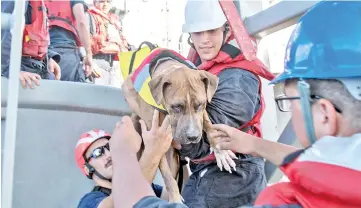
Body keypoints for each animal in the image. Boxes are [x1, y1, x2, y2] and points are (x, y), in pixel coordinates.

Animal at [121, 58, 236, 202]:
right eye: (176, 107)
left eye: (200, 104)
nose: (193, 137)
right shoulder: (155, 140)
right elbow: (168, 176)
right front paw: (175, 199)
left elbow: (209, 125)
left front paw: (221, 152)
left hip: (174, 159)